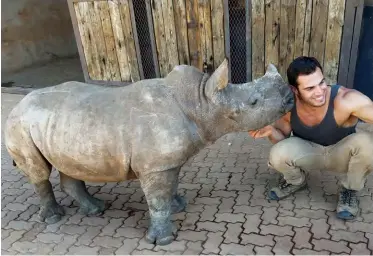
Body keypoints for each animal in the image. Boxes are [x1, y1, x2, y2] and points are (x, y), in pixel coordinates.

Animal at [4, 59, 292, 245]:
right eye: (253, 103)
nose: (290, 96)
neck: (201, 102)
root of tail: (17, 104)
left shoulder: (166, 162)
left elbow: (169, 187)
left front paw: (178, 206)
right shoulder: (155, 165)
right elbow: (157, 199)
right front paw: (163, 240)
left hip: (61, 125)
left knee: (68, 164)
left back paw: (96, 209)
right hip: (19, 124)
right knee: (39, 171)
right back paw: (54, 219)